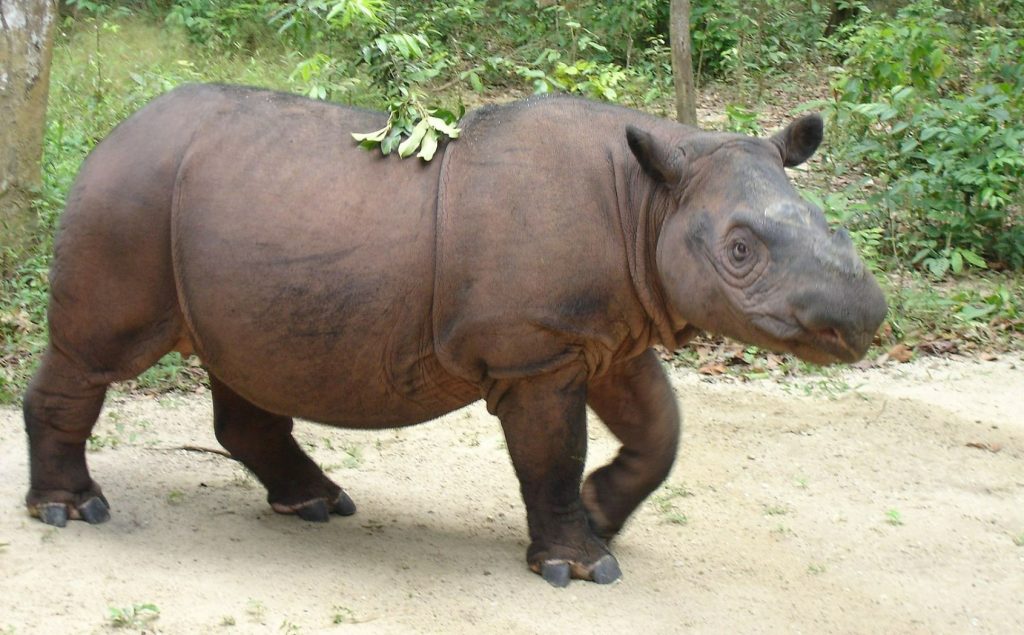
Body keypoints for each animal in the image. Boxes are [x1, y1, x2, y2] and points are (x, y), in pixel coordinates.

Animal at [24, 84, 886, 586]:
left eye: (833, 226)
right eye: (739, 251)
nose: (865, 316)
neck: (652, 199)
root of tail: (110, 132)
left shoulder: (606, 330)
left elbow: (660, 429)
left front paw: (602, 510)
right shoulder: (536, 349)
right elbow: (552, 452)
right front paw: (582, 567)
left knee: (245, 364)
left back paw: (317, 505)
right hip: (127, 194)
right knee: (95, 354)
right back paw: (72, 512)